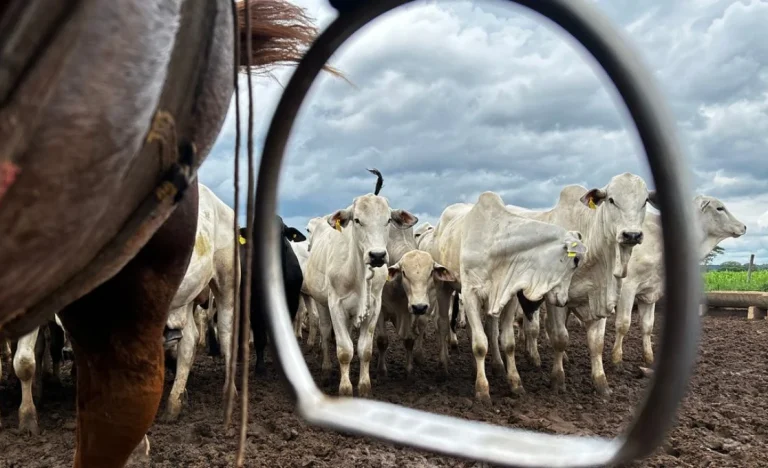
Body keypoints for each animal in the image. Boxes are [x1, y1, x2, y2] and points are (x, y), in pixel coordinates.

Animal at [0, 0, 338, 466]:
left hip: (222, 285)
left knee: (226, 336)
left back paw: (219, 392)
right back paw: (177, 400)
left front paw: (30, 416)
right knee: (192, 341)